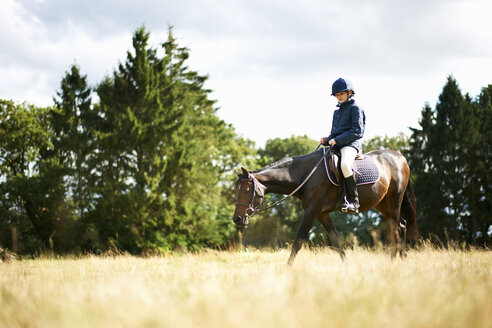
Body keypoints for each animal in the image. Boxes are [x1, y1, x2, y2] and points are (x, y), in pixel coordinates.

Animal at [233, 147, 418, 266]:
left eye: (247, 189)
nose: (237, 219)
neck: (304, 175)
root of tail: (400, 157)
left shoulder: (311, 211)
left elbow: (298, 242)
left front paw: (287, 268)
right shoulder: (322, 214)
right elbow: (336, 242)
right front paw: (346, 265)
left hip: (394, 201)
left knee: (396, 229)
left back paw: (394, 261)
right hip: (383, 204)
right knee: (401, 226)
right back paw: (402, 259)